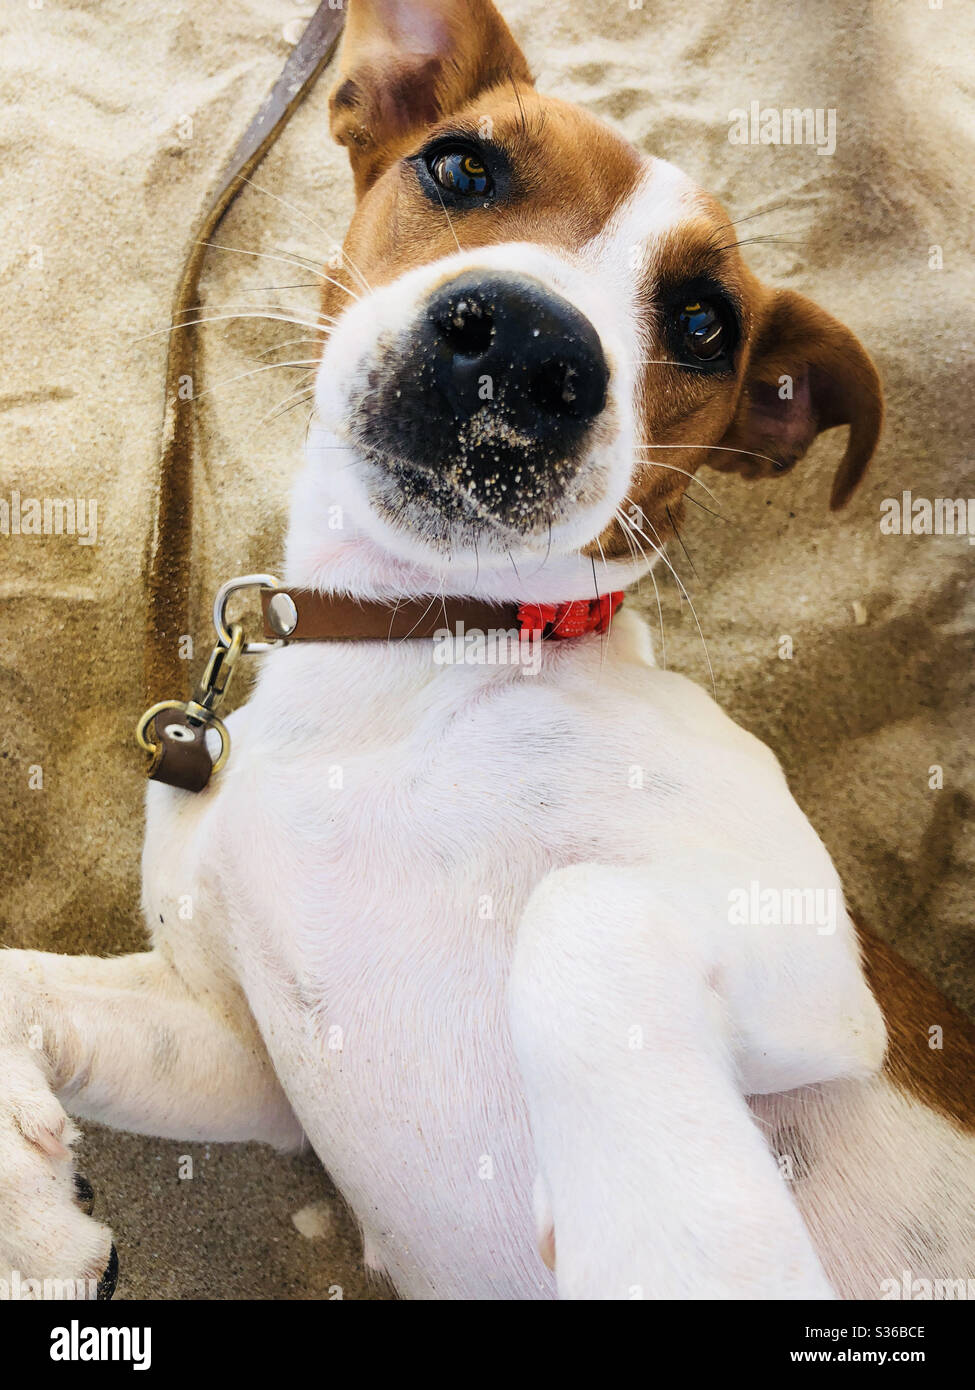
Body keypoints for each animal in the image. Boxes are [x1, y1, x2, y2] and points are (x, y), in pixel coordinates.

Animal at [1, 0, 973, 1301]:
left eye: (704, 321)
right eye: (464, 166)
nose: (524, 341)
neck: (406, 646)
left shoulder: (812, 956)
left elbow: (581, 918)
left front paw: (675, 1239)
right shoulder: (240, 1048)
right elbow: (16, 977)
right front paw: (30, 1219)